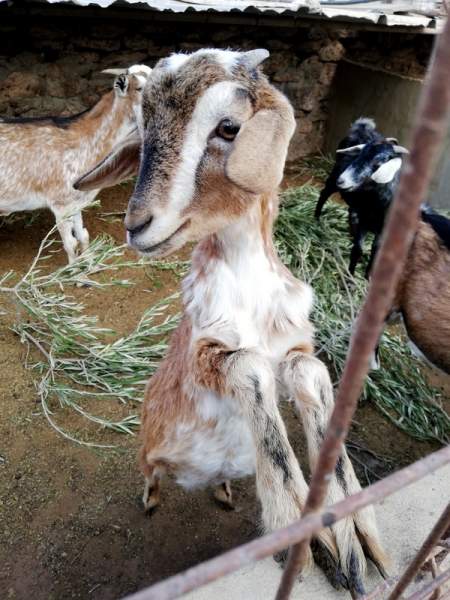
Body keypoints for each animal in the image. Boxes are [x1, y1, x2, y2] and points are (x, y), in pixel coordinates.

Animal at [0, 64, 151, 264]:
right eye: (140, 88)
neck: (84, 142)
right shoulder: (60, 204)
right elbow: (71, 243)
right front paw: (74, 270)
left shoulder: (76, 201)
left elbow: (83, 236)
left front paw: (90, 264)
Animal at [75, 48, 388, 596]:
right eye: (142, 128)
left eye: (228, 127)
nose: (136, 225)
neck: (252, 288)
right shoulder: (205, 350)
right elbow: (250, 369)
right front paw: (304, 534)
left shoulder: (296, 343)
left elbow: (311, 373)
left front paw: (354, 532)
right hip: (148, 448)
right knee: (151, 473)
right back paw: (152, 498)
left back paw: (221, 489)